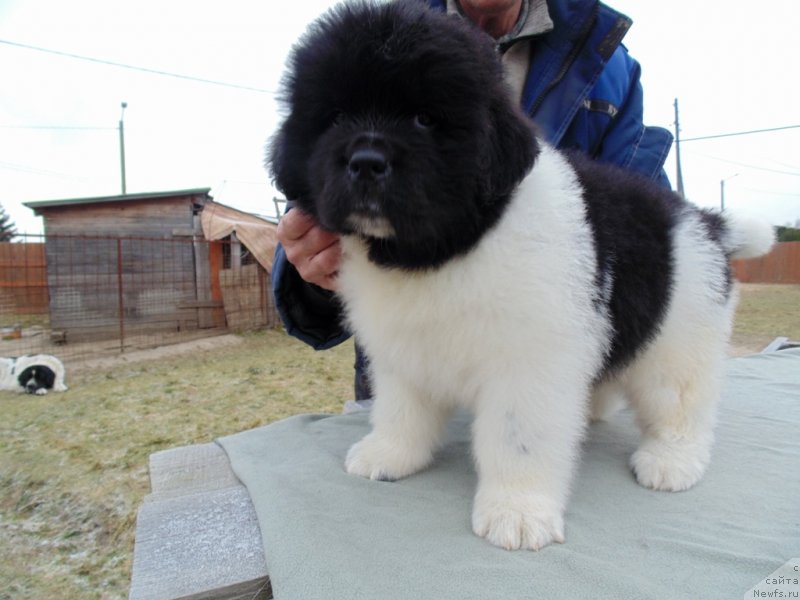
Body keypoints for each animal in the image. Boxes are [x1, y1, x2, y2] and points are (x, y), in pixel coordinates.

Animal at [268, 0, 776, 552]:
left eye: (424, 119)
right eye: (336, 117)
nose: (365, 161)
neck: (442, 248)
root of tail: (704, 221)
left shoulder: (529, 365)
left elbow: (518, 441)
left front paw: (517, 511)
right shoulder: (403, 352)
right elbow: (401, 410)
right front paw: (389, 454)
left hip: (678, 341)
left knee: (681, 404)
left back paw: (671, 460)